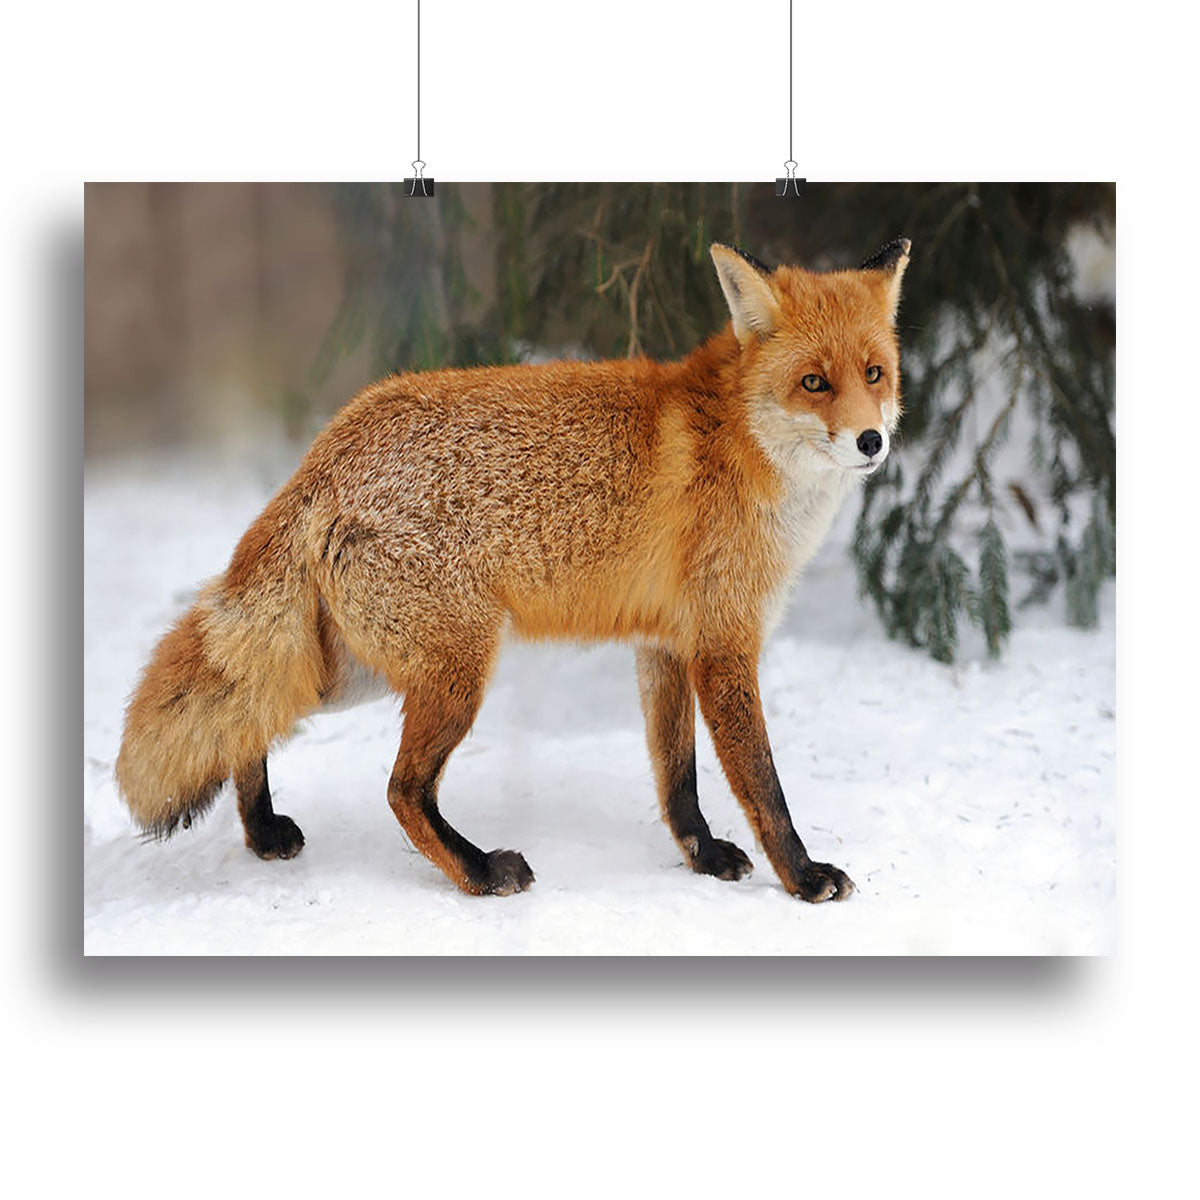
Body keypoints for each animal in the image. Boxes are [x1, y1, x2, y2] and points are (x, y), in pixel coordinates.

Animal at [116, 237, 910, 902]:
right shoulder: (722, 645)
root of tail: (332, 445)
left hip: (359, 669)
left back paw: (261, 831)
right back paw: (478, 871)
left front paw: (705, 858)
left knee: (252, 718)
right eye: (814, 383)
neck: (742, 444)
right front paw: (802, 877)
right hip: (456, 671)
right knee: (401, 789)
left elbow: (677, 778)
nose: (872, 441)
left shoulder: (664, 645)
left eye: (875, 374)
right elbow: (763, 785)